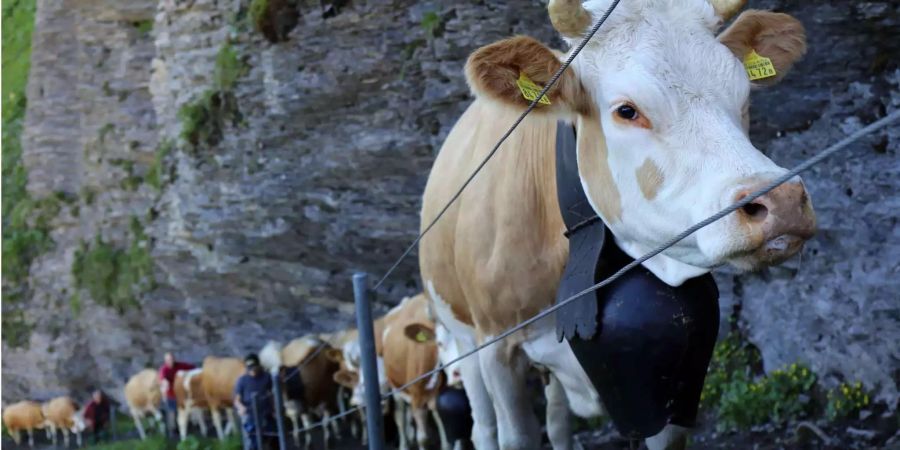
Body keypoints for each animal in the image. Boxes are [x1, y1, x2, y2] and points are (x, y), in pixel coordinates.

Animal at [418, 0, 820, 448]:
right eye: (627, 111)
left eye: (743, 95)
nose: (782, 200)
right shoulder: (495, 347)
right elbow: (514, 434)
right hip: (459, 338)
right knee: (483, 426)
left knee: (558, 421)